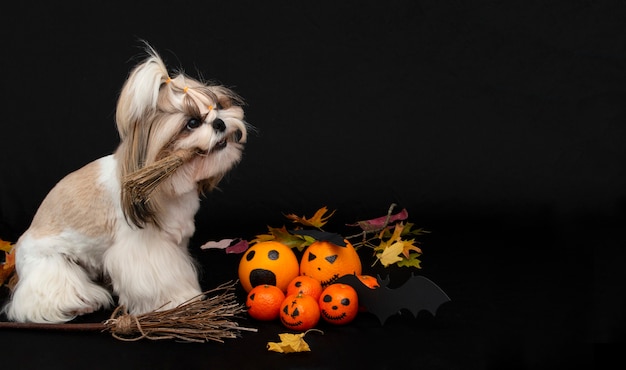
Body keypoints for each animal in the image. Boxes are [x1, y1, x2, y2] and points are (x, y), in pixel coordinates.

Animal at [3, 44, 246, 324]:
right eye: (192, 123)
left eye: (218, 106)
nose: (219, 122)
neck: (171, 184)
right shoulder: (144, 250)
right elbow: (163, 278)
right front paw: (179, 301)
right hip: (52, 265)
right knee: (42, 296)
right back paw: (78, 305)